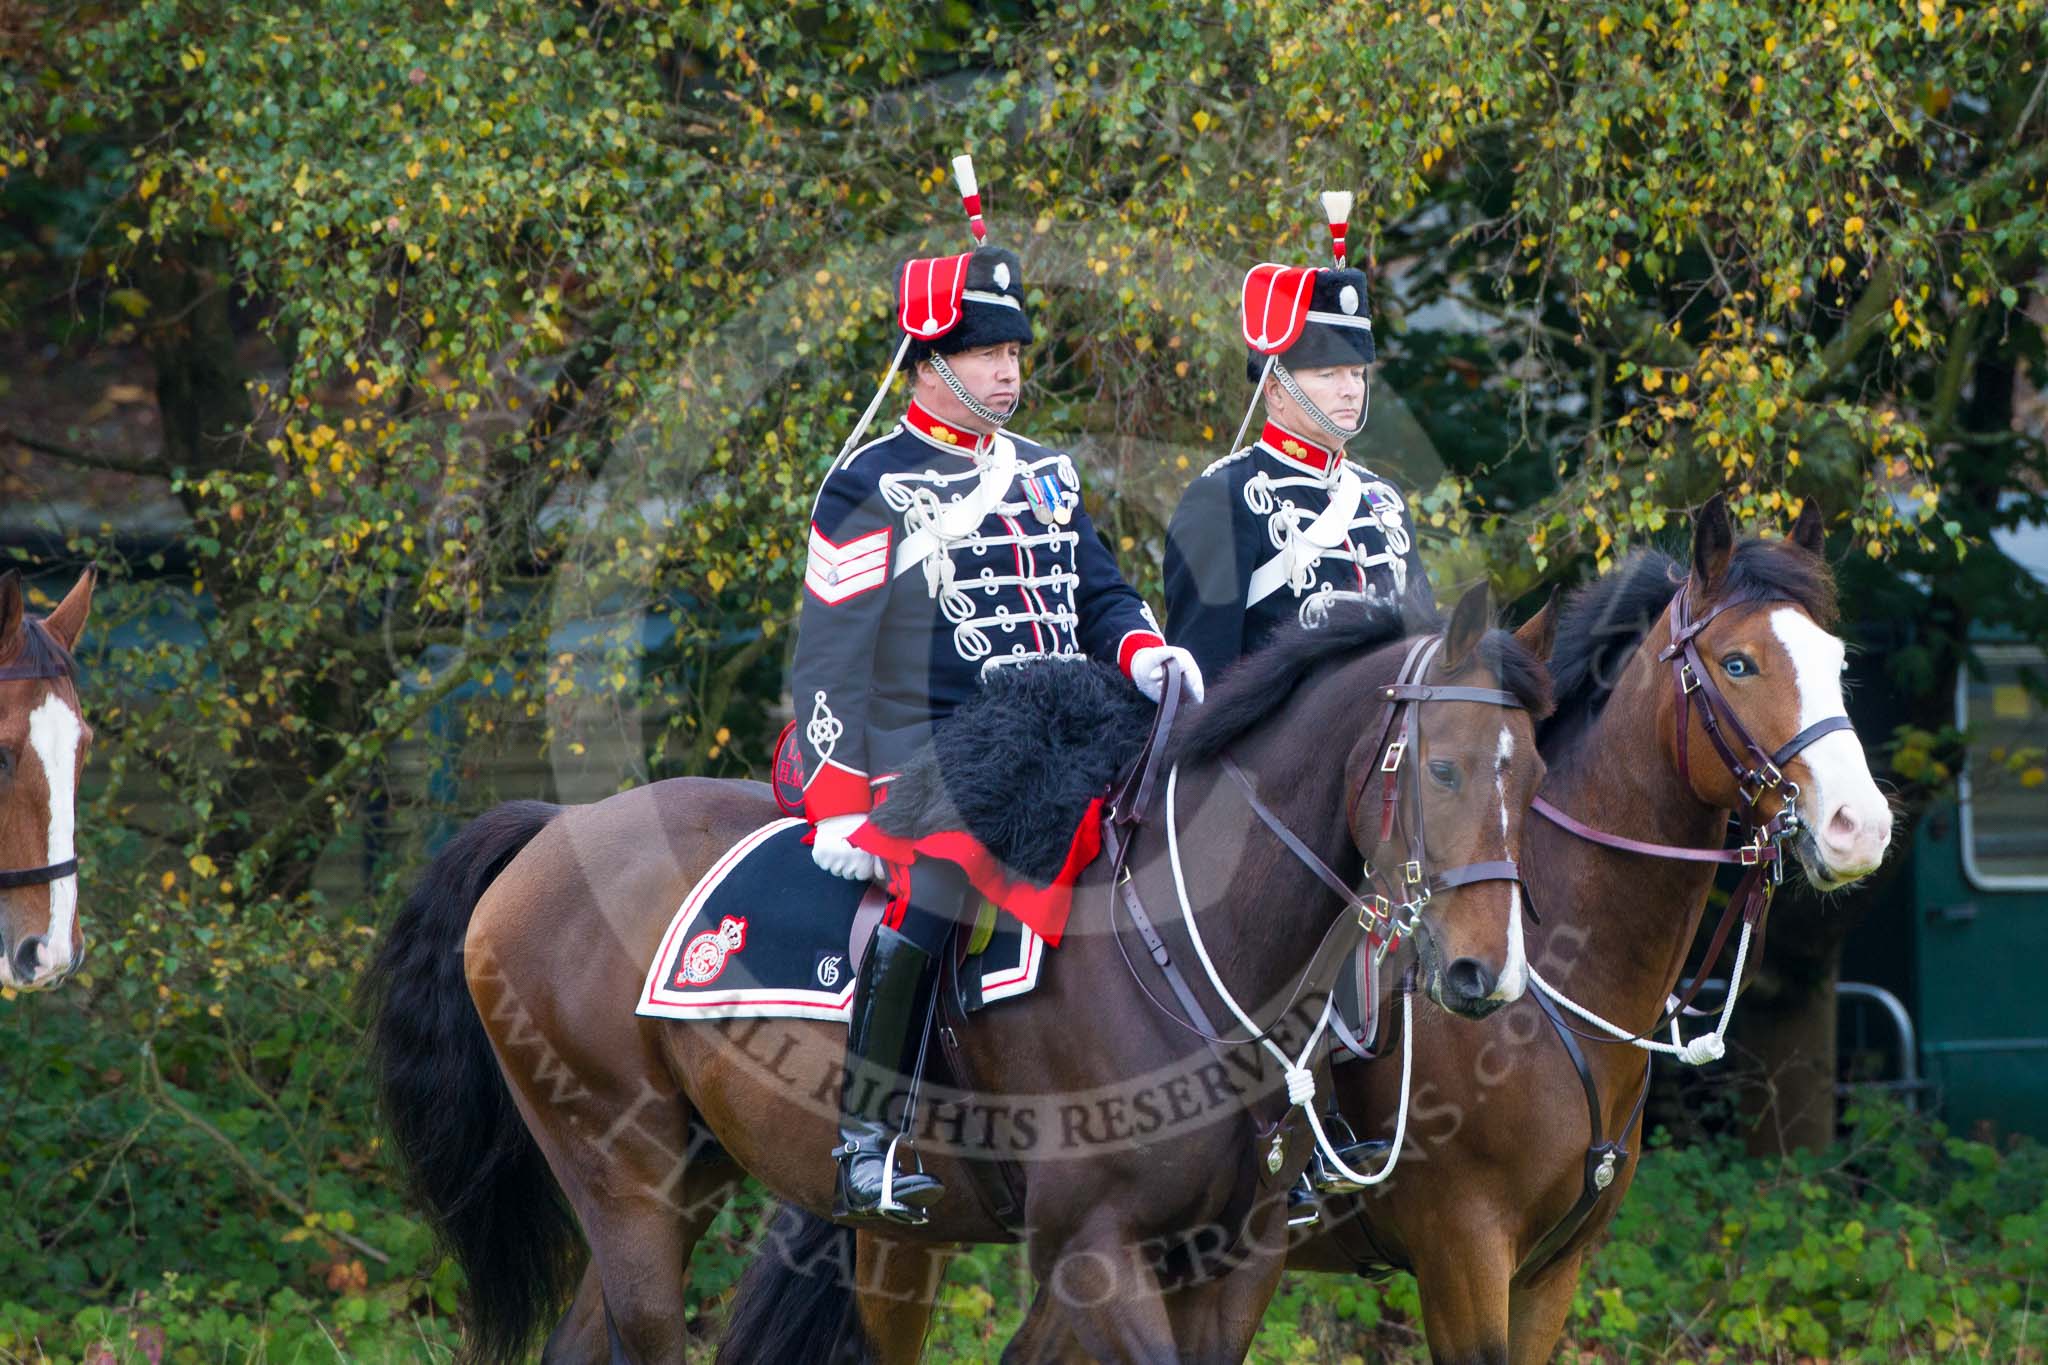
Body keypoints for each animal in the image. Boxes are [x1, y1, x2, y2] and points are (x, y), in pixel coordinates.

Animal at [368, 581, 1548, 1358]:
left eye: (1530, 771)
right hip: (624, 1182)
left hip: (705, 1182)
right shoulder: (1094, 1249)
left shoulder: (1238, 1256)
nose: (1484, 974)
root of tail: (553, 827)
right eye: (1442, 768)